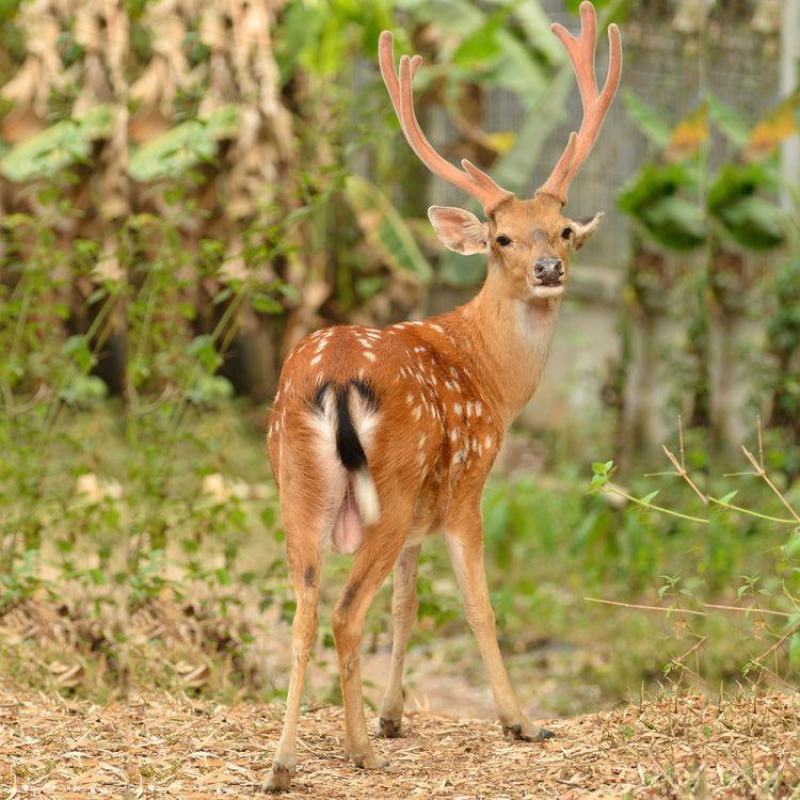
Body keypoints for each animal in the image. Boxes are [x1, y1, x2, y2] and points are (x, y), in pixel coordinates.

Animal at [264, 2, 621, 791]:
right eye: (501, 238)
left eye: (563, 230)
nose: (549, 268)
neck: (491, 375)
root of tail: (335, 378)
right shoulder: (466, 483)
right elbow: (479, 605)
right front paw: (520, 721)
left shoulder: (419, 516)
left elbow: (407, 603)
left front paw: (394, 715)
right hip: (389, 486)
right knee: (344, 611)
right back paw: (357, 753)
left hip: (297, 483)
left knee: (304, 607)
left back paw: (282, 762)